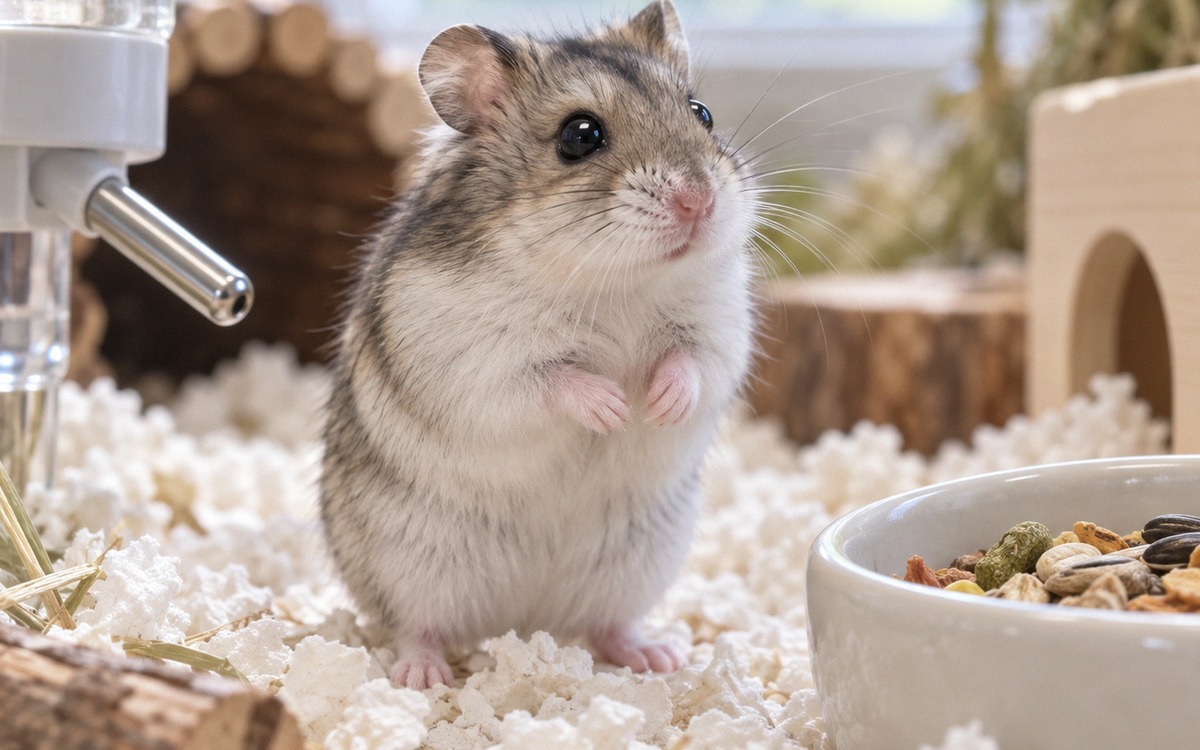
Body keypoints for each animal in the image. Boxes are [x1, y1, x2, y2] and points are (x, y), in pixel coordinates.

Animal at [320, 0, 757, 690]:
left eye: (702, 112)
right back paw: (423, 676)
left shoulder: (719, 329)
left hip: (637, 563)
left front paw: (660, 405)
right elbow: (551, 379)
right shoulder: (477, 356)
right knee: (417, 624)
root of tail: (523, 623)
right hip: (413, 564)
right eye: (580, 136)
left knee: (607, 624)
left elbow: (691, 363)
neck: (616, 280)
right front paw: (614, 409)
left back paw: (656, 657)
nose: (699, 201)